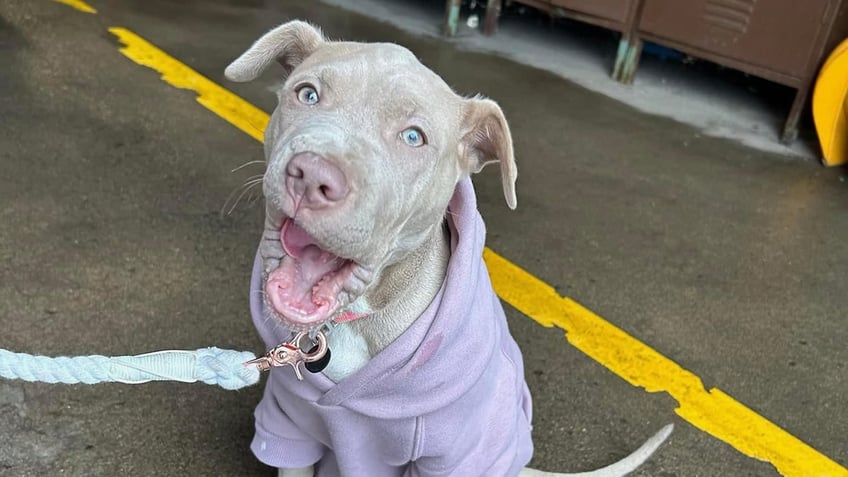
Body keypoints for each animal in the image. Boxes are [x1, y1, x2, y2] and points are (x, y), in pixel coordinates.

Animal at [224, 19, 668, 476]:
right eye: (307, 94)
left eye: (413, 137)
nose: (312, 176)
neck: (355, 320)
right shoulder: (289, 419)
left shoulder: (454, 454)